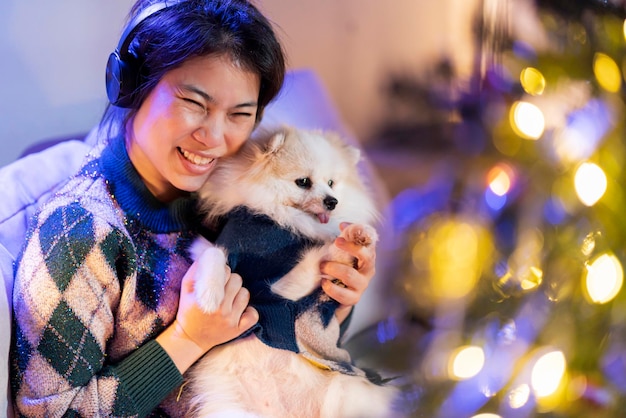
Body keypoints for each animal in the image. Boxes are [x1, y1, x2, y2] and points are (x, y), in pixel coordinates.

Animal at [185, 126, 400, 418]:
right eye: (303, 182)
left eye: (331, 183)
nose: (332, 201)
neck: (280, 222)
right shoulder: (218, 248)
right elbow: (215, 255)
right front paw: (209, 296)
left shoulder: (292, 288)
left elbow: (322, 255)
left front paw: (357, 236)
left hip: (345, 389)